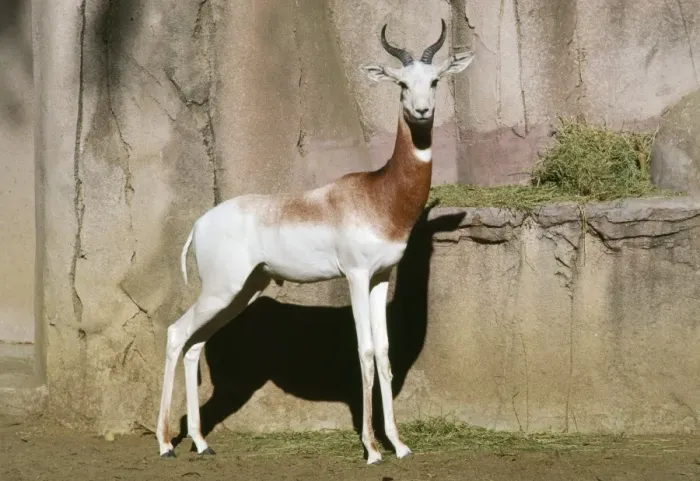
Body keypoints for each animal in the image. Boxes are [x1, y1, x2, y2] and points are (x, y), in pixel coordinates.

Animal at [155, 19, 474, 464]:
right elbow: (365, 352)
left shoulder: (381, 278)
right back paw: (166, 443)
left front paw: (398, 443)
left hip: (241, 292)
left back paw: (201, 443)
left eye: (435, 80)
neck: (379, 195)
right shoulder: (355, 275)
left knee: (193, 345)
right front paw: (371, 448)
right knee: (175, 334)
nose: (422, 111)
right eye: (400, 83)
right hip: (222, 290)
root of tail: (199, 224)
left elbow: (386, 354)